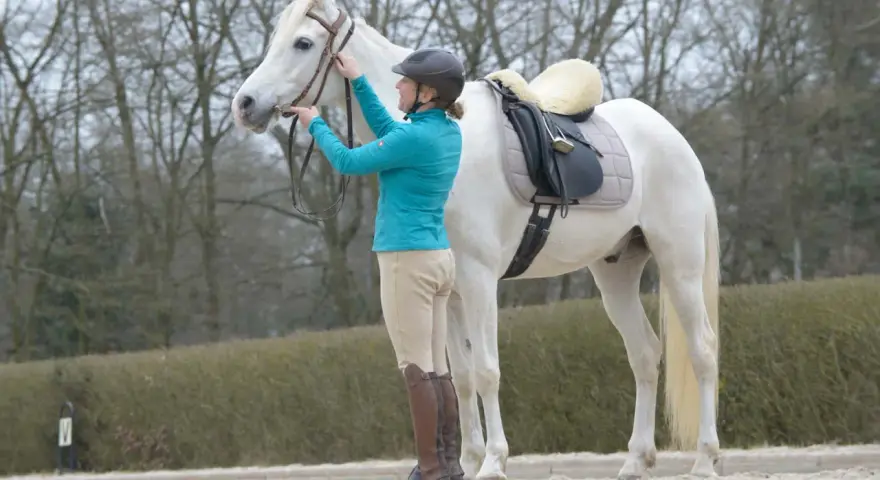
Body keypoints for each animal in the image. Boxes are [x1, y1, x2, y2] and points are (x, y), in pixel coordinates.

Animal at [230, 0, 722, 478]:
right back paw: (636, 460)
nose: (244, 104)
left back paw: (704, 459)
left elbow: (487, 371)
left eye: (303, 42)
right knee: (644, 354)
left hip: (679, 266)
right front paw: (465, 460)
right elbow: (459, 378)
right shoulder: (448, 293)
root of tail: (674, 138)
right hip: (616, 273)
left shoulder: (478, 280)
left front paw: (493, 462)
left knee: (702, 350)